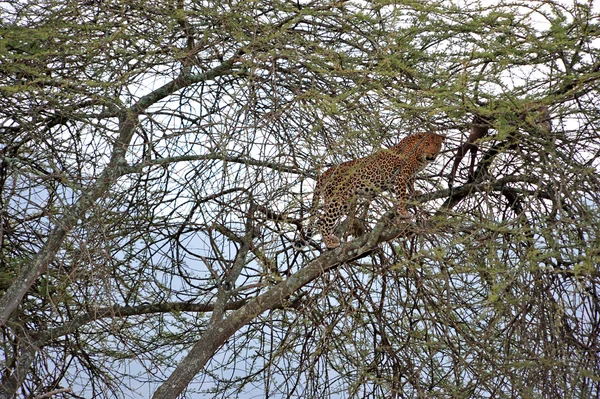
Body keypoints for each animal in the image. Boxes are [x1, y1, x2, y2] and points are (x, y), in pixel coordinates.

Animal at [308, 133, 442, 248]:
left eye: (437, 145)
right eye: (427, 144)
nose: (432, 154)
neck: (420, 156)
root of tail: (325, 173)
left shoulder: (410, 175)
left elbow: (411, 184)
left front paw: (414, 193)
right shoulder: (402, 175)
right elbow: (401, 194)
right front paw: (403, 212)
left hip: (342, 201)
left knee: (321, 220)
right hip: (337, 199)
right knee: (323, 222)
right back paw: (330, 243)